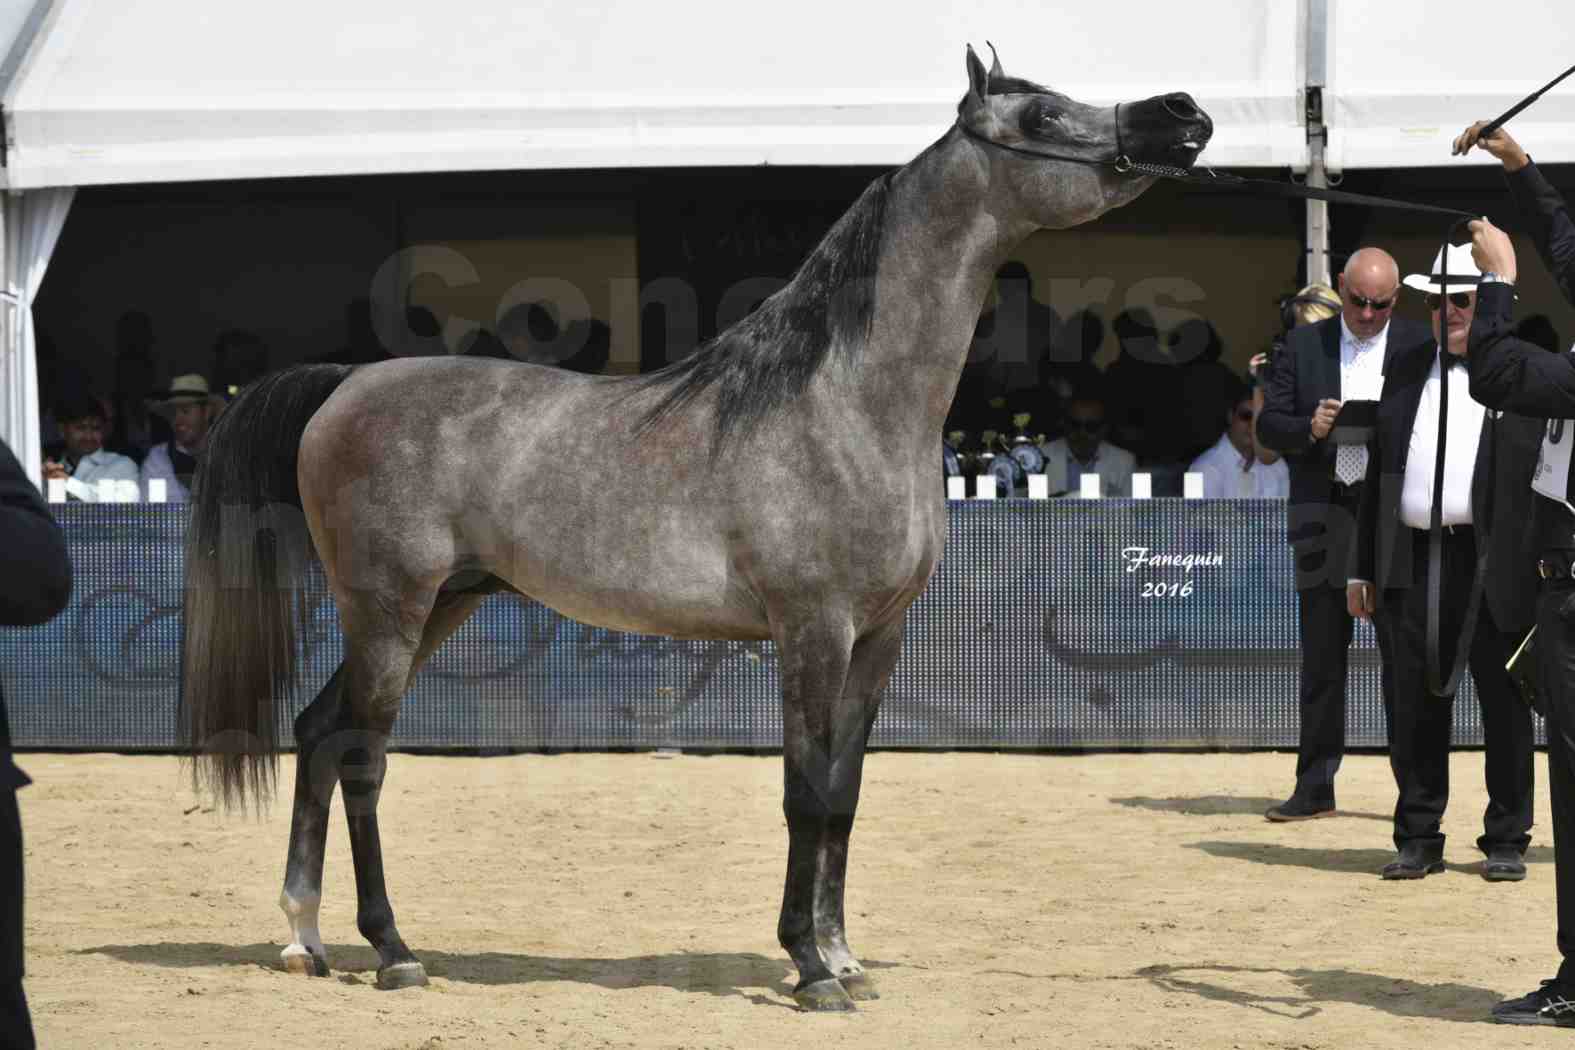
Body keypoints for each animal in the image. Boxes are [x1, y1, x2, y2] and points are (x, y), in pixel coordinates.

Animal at [187, 45, 1215, 1013]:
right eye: (1039, 114)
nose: (1181, 114)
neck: (846, 403)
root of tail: (344, 384)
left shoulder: (879, 637)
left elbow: (844, 795)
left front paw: (845, 955)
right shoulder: (812, 629)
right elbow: (803, 792)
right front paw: (810, 968)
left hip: (442, 605)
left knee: (319, 733)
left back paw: (305, 941)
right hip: (390, 610)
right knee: (361, 755)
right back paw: (393, 951)